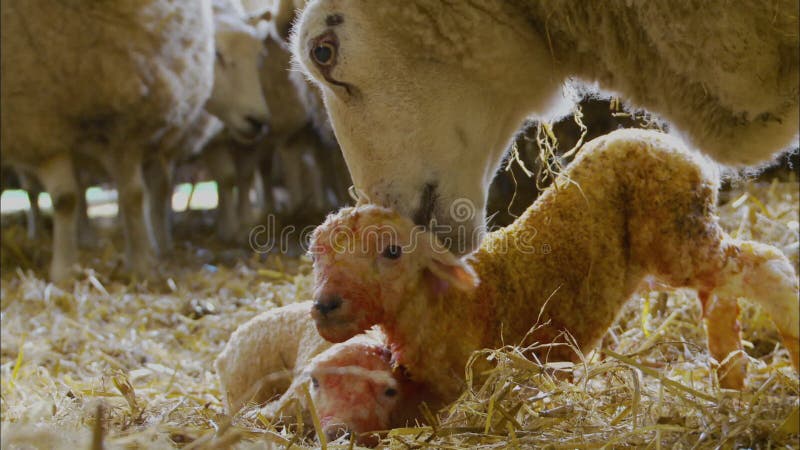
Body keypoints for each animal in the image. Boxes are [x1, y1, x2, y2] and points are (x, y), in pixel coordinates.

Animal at [308, 129, 800, 400]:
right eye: (318, 256)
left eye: (392, 251)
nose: (325, 306)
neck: (447, 305)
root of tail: (684, 151)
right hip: (684, 240)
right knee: (724, 291)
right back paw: (731, 384)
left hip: (676, 236)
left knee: (768, 266)